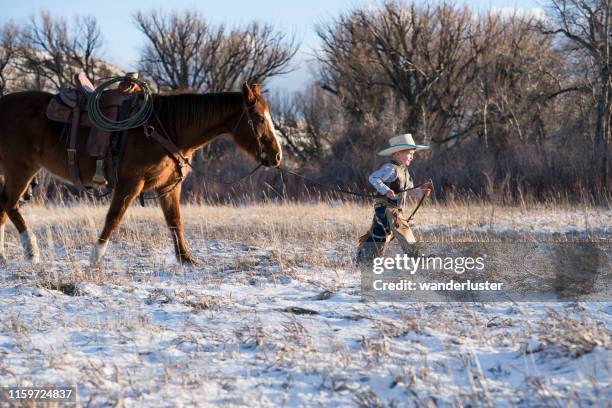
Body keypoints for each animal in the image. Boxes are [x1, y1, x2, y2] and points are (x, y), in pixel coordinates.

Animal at [0, 82, 282, 264]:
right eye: (259, 118)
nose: (277, 155)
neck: (165, 126)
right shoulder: (130, 183)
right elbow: (114, 218)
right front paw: (95, 257)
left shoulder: (168, 187)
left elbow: (175, 221)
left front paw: (186, 259)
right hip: (21, 168)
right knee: (10, 204)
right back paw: (31, 251)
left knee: (3, 208)